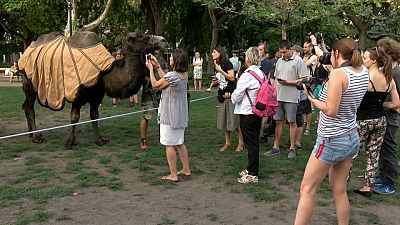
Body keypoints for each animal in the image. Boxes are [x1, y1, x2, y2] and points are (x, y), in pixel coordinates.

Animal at [19, 30, 167, 149]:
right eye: (145, 37)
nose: (164, 40)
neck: (104, 73)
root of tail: (25, 52)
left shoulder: (97, 95)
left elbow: (95, 116)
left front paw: (99, 140)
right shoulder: (77, 92)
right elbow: (74, 117)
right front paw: (70, 142)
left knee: (25, 106)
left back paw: (31, 135)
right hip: (30, 82)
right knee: (30, 107)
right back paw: (36, 137)